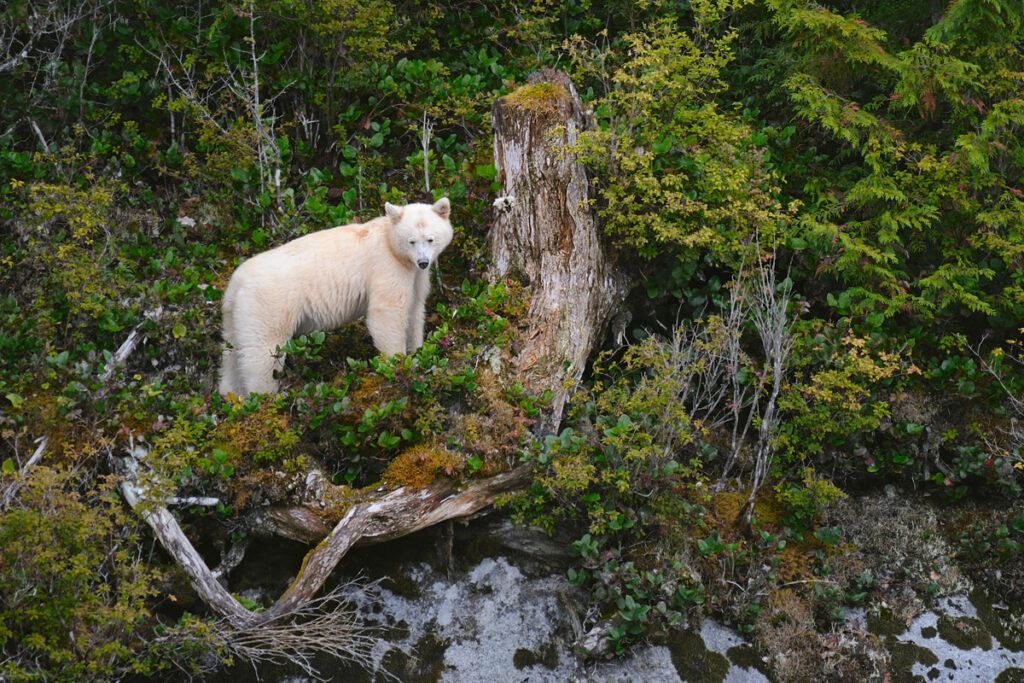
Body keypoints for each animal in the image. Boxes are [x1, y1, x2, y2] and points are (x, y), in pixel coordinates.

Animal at [218, 198, 453, 397]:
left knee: (233, 350)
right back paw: (264, 396)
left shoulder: (415, 276)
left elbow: (415, 308)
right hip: (269, 305)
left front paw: (417, 352)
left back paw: (230, 394)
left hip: (236, 313)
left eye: (430, 239)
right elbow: (388, 311)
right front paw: (398, 363)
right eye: (411, 241)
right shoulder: (387, 266)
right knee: (263, 351)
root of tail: (236, 283)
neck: (390, 242)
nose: (423, 262)